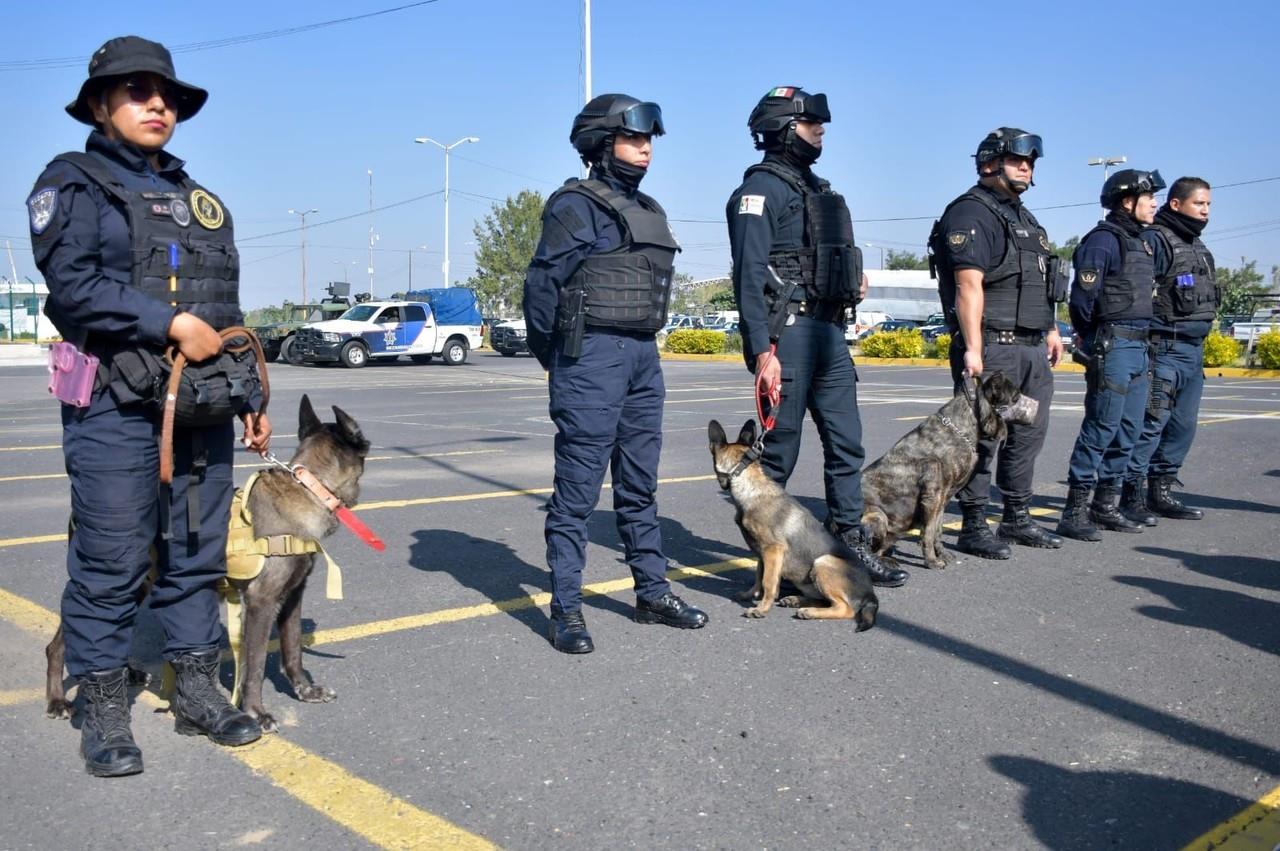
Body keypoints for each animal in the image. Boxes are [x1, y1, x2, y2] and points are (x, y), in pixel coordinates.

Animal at [48, 391, 371, 731]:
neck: (309, 488)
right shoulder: (260, 603)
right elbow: (254, 665)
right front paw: (256, 711)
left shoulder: (293, 596)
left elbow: (293, 648)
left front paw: (305, 690)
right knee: (58, 646)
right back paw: (57, 700)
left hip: (139, 587)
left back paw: (130, 674)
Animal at [711, 419, 880, 629]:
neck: (748, 484)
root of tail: (870, 594)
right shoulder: (762, 553)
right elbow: (758, 576)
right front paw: (751, 595)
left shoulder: (773, 550)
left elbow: (768, 582)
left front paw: (762, 608)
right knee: (826, 601)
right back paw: (796, 601)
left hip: (823, 562)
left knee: (845, 608)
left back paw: (809, 611)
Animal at [860, 373, 1029, 568]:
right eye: (1016, 396)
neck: (961, 427)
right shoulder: (932, 498)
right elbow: (928, 533)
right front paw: (932, 561)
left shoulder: (943, 499)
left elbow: (937, 530)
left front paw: (941, 553)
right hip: (877, 515)